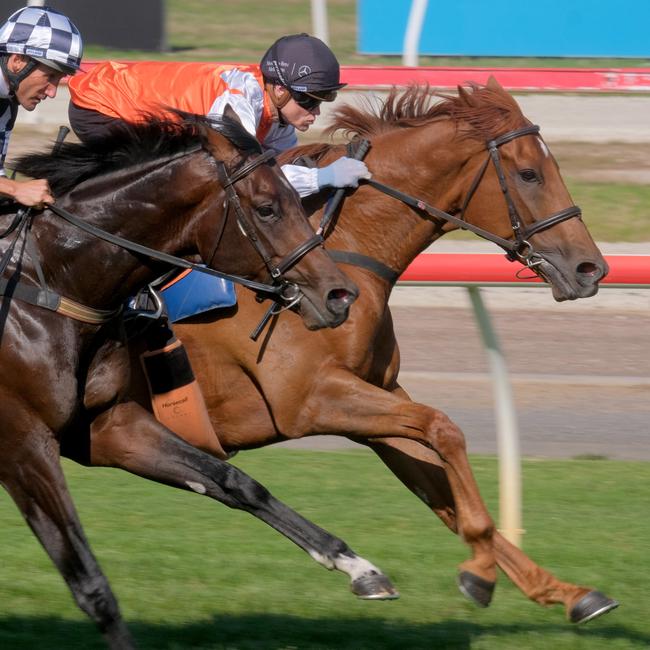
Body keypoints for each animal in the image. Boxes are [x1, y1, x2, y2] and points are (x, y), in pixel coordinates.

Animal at [0, 114, 400, 644]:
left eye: (298, 201)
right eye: (267, 208)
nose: (340, 295)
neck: (52, 281)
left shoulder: (107, 426)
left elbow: (234, 482)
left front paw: (359, 567)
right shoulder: (23, 444)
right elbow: (91, 585)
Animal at [165, 79, 616, 624]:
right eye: (529, 173)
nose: (591, 269)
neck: (339, 254)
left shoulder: (376, 395)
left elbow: (439, 486)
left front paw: (563, 591)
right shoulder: (312, 400)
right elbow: (445, 429)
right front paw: (480, 571)